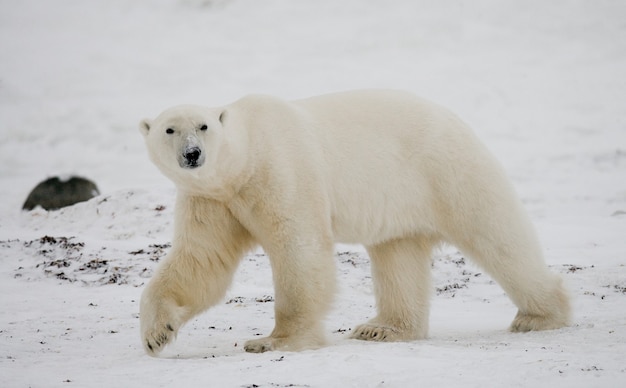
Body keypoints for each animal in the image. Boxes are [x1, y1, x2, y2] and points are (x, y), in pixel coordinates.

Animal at [139, 90, 568, 354]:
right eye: (169, 129)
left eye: (204, 126)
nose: (192, 154)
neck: (244, 161)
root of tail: (454, 118)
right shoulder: (213, 200)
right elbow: (201, 261)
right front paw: (157, 334)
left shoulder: (281, 171)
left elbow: (299, 248)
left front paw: (274, 340)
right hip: (400, 199)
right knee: (398, 257)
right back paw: (382, 328)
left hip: (447, 170)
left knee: (497, 236)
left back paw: (540, 315)